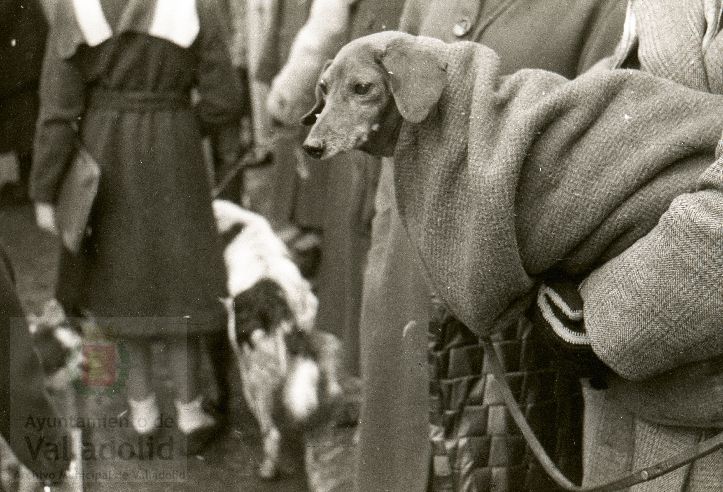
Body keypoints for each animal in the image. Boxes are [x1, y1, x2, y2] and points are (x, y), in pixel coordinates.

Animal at [214, 199, 344, 476]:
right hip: (315, 328)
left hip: (259, 380)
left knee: (271, 432)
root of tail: (277, 312)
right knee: (329, 365)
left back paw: (267, 470)